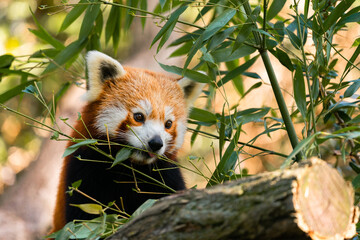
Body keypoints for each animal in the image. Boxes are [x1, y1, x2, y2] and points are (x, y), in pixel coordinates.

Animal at [50, 51, 205, 233]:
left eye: (168, 124)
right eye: (138, 116)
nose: (156, 143)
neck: (130, 169)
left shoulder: (166, 174)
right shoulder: (82, 171)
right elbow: (81, 218)